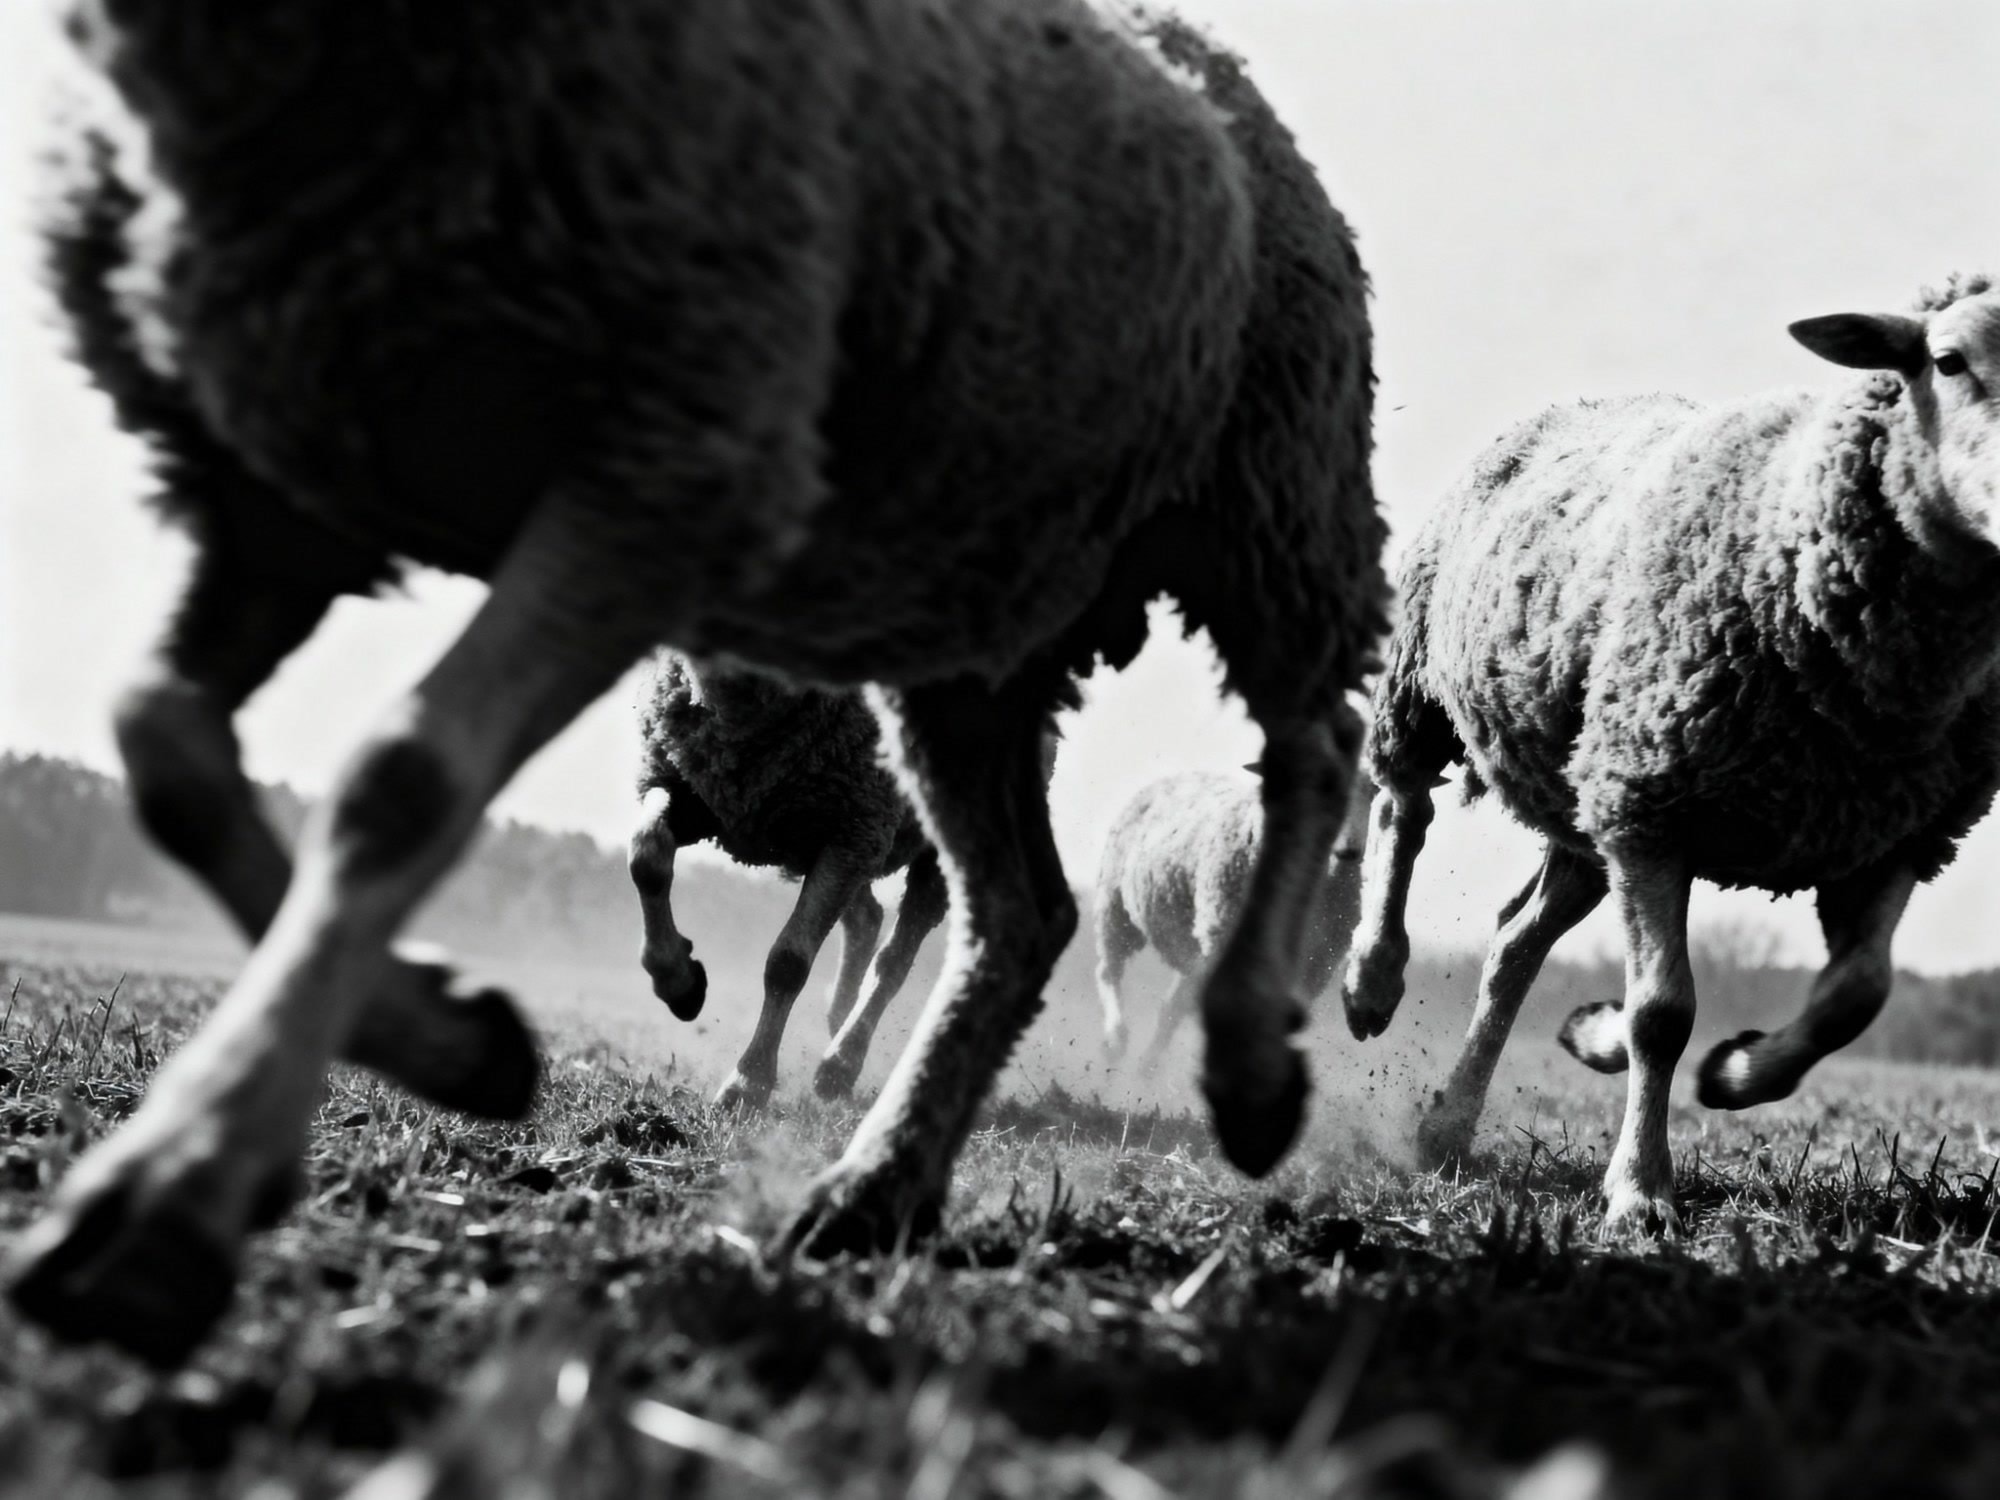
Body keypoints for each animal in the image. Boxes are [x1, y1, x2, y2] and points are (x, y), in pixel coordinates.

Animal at [631, 652, 1055, 1110]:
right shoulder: (680, 782)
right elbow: (646, 855)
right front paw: (678, 982)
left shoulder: (852, 828)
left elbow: (787, 963)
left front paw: (748, 1082)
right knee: (866, 916)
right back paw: (837, 1022)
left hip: (928, 835)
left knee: (895, 956)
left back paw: (841, 1063)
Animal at [1094, 764, 1374, 1067]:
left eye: (1374, 790)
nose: (1349, 851)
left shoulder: (1318, 965)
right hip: (1116, 906)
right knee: (1109, 971)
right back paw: (1116, 1039)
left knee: (1172, 1006)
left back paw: (1147, 1067)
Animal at [1342, 274, 2000, 1230]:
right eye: (1948, 361)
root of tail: (1582, 398)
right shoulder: (1655, 811)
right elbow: (1663, 1012)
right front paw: (1640, 1193)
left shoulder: (1897, 835)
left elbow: (1854, 997)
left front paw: (1731, 1072)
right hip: (1429, 688)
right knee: (1403, 811)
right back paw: (1372, 981)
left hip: (1587, 797)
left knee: (1513, 943)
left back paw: (1457, 1121)